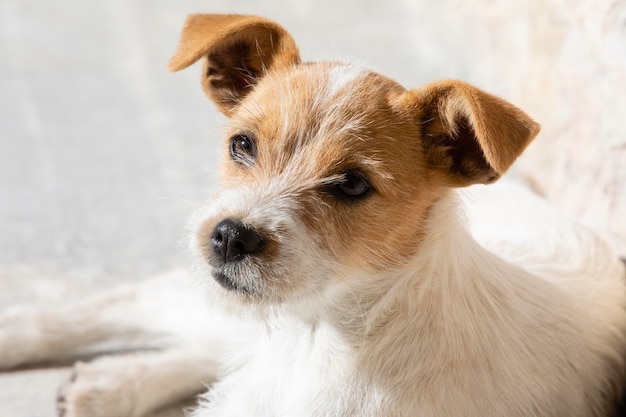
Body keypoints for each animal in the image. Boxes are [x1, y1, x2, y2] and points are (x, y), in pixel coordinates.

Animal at [1, 13, 624, 416]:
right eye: (242, 145)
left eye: (351, 184)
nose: (229, 236)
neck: (316, 337)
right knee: (126, 305)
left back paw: (112, 383)